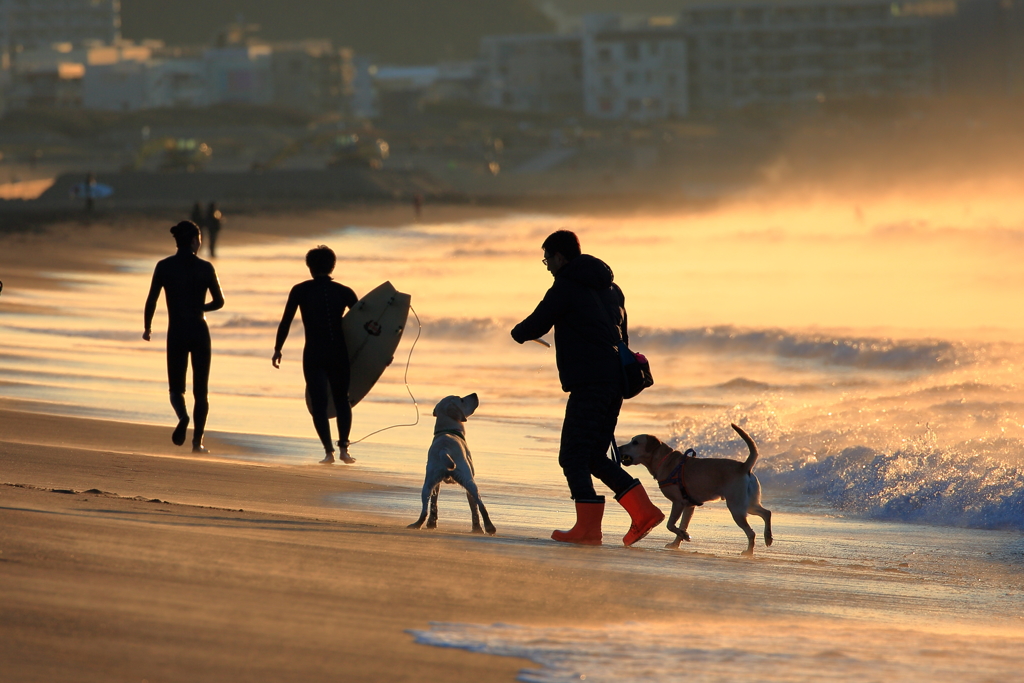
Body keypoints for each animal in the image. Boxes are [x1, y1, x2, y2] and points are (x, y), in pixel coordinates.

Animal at [405, 395, 493, 532]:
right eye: (461, 399)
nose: (475, 394)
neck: (447, 430)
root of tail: (444, 450)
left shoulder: (436, 484)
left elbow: (434, 501)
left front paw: (432, 523)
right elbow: (473, 506)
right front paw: (477, 528)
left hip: (428, 483)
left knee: (425, 508)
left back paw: (417, 524)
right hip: (469, 480)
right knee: (481, 504)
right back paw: (490, 527)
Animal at [614, 423, 774, 557]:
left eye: (635, 442)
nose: (619, 448)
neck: (665, 460)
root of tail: (744, 467)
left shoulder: (678, 502)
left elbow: (670, 524)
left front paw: (683, 535)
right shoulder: (689, 505)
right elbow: (682, 524)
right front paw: (676, 543)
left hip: (736, 507)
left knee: (751, 532)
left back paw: (749, 551)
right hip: (747, 503)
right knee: (766, 513)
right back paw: (768, 537)